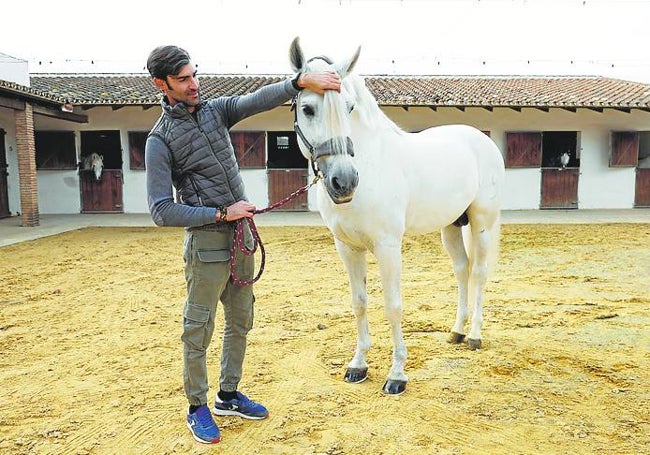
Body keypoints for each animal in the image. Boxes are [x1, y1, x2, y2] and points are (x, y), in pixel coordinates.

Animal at [288, 38, 506, 396]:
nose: (344, 181)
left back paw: (474, 335)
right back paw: (457, 332)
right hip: (450, 226)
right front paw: (358, 365)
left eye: (349, 107)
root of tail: (481, 138)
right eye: (307, 108)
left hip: (482, 222)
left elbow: (393, 306)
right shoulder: (347, 247)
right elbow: (359, 302)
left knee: (480, 273)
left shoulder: (388, 246)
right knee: (462, 271)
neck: (370, 162)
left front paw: (397, 375)